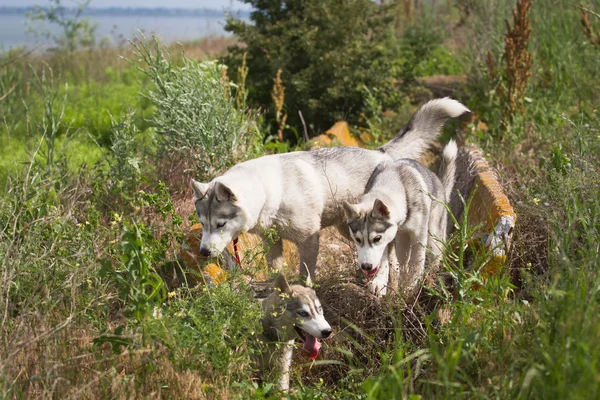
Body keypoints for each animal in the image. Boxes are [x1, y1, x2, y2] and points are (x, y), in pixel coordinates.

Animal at [191, 98, 468, 276]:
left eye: (220, 224)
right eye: (203, 224)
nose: (203, 252)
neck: (270, 192)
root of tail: (381, 153)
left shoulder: (309, 240)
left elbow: (306, 276)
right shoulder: (273, 243)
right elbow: (276, 273)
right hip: (348, 228)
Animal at [342, 141, 460, 296]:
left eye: (377, 238)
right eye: (357, 239)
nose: (366, 266)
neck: (394, 182)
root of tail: (438, 181)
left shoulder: (418, 236)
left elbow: (417, 262)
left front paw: (410, 287)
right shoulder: (389, 239)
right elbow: (384, 260)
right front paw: (380, 281)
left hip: (433, 238)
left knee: (434, 258)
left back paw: (429, 280)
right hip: (402, 242)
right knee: (402, 262)